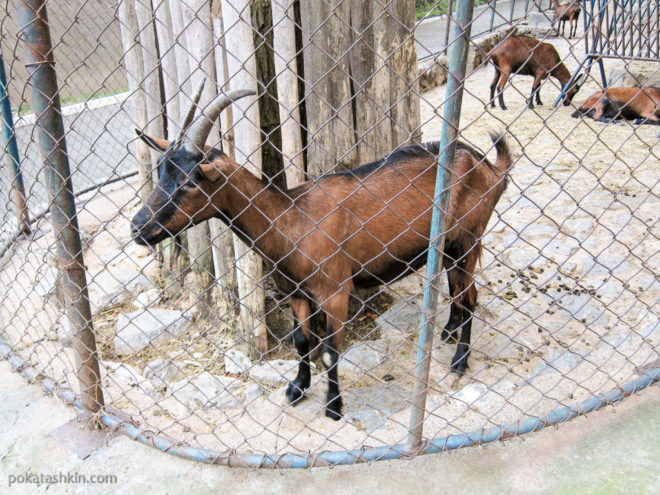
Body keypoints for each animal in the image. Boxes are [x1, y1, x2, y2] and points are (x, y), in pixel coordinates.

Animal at [131, 81, 512, 422]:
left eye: (189, 182)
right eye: (161, 170)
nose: (137, 227)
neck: (292, 221)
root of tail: (490, 166)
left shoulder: (335, 292)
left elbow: (329, 352)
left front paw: (333, 406)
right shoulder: (296, 292)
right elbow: (302, 340)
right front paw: (297, 387)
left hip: (468, 240)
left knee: (470, 295)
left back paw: (460, 361)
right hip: (448, 246)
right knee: (455, 287)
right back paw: (448, 330)